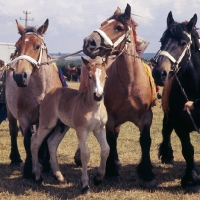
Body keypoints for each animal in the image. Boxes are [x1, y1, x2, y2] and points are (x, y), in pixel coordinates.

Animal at [6, 18, 61, 178]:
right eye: (17, 46)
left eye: (36, 46)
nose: (20, 76)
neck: (41, 89)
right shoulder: (24, 118)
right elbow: (27, 140)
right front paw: (29, 169)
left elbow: (46, 139)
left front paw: (47, 164)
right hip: (10, 112)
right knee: (13, 131)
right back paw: (16, 158)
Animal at [31, 56, 109, 194]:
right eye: (89, 76)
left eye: (105, 77)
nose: (98, 96)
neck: (93, 107)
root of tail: (48, 94)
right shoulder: (81, 130)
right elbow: (85, 154)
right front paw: (85, 185)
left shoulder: (100, 129)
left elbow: (105, 149)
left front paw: (98, 178)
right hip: (47, 124)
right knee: (35, 141)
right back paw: (38, 177)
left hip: (62, 126)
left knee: (52, 143)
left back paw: (59, 177)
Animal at [80, 3, 157, 188]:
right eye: (102, 24)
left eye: (118, 27)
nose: (89, 42)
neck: (129, 83)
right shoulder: (111, 118)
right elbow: (111, 140)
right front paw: (111, 171)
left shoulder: (146, 117)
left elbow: (145, 141)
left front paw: (147, 173)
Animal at [152, 12, 200, 188]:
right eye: (161, 40)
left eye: (183, 43)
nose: (159, 73)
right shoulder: (179, 124)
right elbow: (188, 150)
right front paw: (191, 178)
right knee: (166, 130)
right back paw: (167, 155)